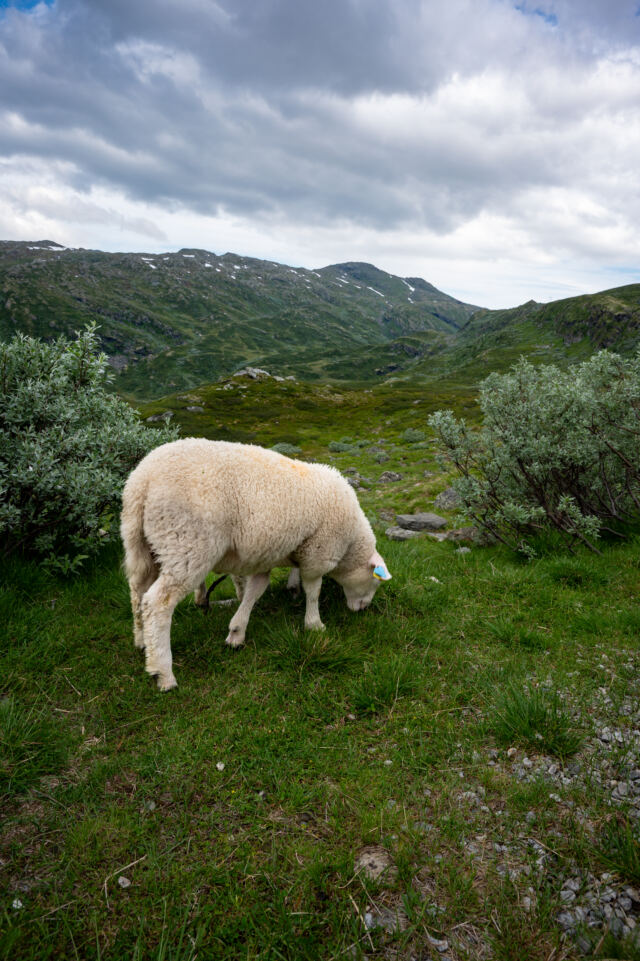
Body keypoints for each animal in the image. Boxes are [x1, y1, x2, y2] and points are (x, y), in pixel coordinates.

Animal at [121, 438, 392, 690]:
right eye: (375, 582)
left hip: (142, 544)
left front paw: (238, 631)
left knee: (137, 592)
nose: (363, 609)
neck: (351, 544)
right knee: (158, 603)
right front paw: (314, 624)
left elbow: (256, 589)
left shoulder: (274, 554)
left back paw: (142, 641)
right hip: (187, 544)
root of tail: (143, 480)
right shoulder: (319, 552)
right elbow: (313, 590)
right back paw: (164, 672)